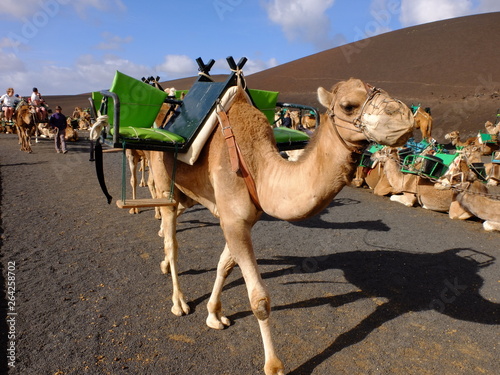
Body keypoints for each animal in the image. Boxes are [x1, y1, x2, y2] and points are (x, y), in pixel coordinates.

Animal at [138, 77, 414, 375]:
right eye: (348, 105)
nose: (404, 115)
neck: (258, 169)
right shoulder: (234, 219)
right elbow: (259, 299)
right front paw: (274, 366)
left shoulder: (239, 220)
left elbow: (225, 265)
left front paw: (214, 314)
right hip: (162, 175)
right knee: (171, 238)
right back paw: (178, 301)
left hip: (186, 192)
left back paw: (165, 265)